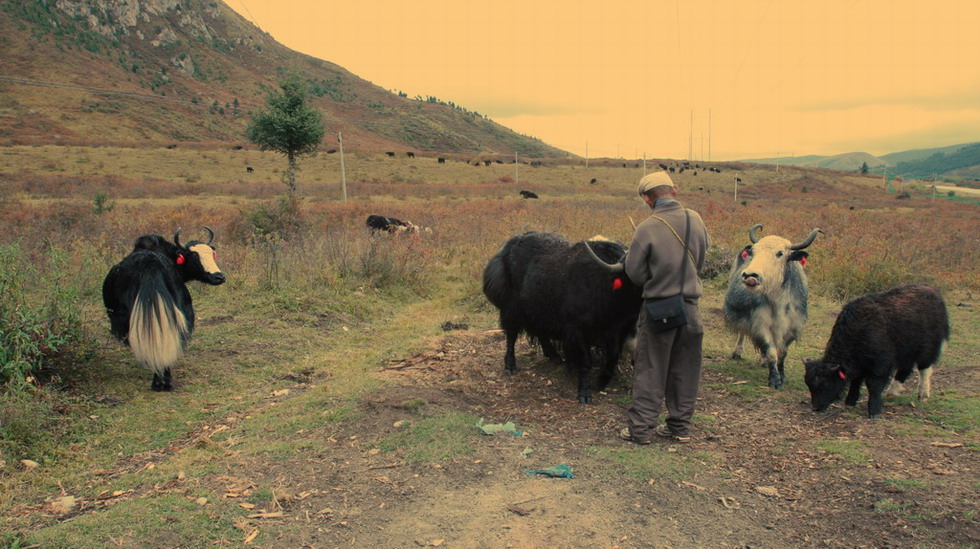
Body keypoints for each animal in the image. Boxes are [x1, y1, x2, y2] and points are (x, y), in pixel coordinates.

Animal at [804, 284, 948, 418]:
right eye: (808, 384)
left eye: (824, 383)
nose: (815, 407)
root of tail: (934, 293)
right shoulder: (860, 364)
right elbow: (856, 382)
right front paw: (850, 402)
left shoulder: (880, 365)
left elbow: (873, 385)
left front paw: (874, 412)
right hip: (906, 352)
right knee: (905, 370)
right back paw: (891, 393)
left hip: (927, 348)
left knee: (924, 369)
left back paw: (923, 395)